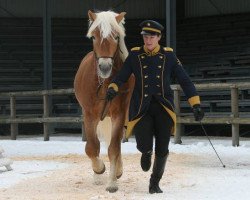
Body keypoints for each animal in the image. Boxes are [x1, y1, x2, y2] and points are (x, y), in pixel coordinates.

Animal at [73, 10, 134, 193]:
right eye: (94, 36)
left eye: (116, 37)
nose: (105, 67)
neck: (105, 84)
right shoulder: (89, 115)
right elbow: (92, 147)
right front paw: (99, 169)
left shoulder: (119, 114)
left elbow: (114, 148)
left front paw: (112, 182)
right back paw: (98, 176)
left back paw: (118, 171)